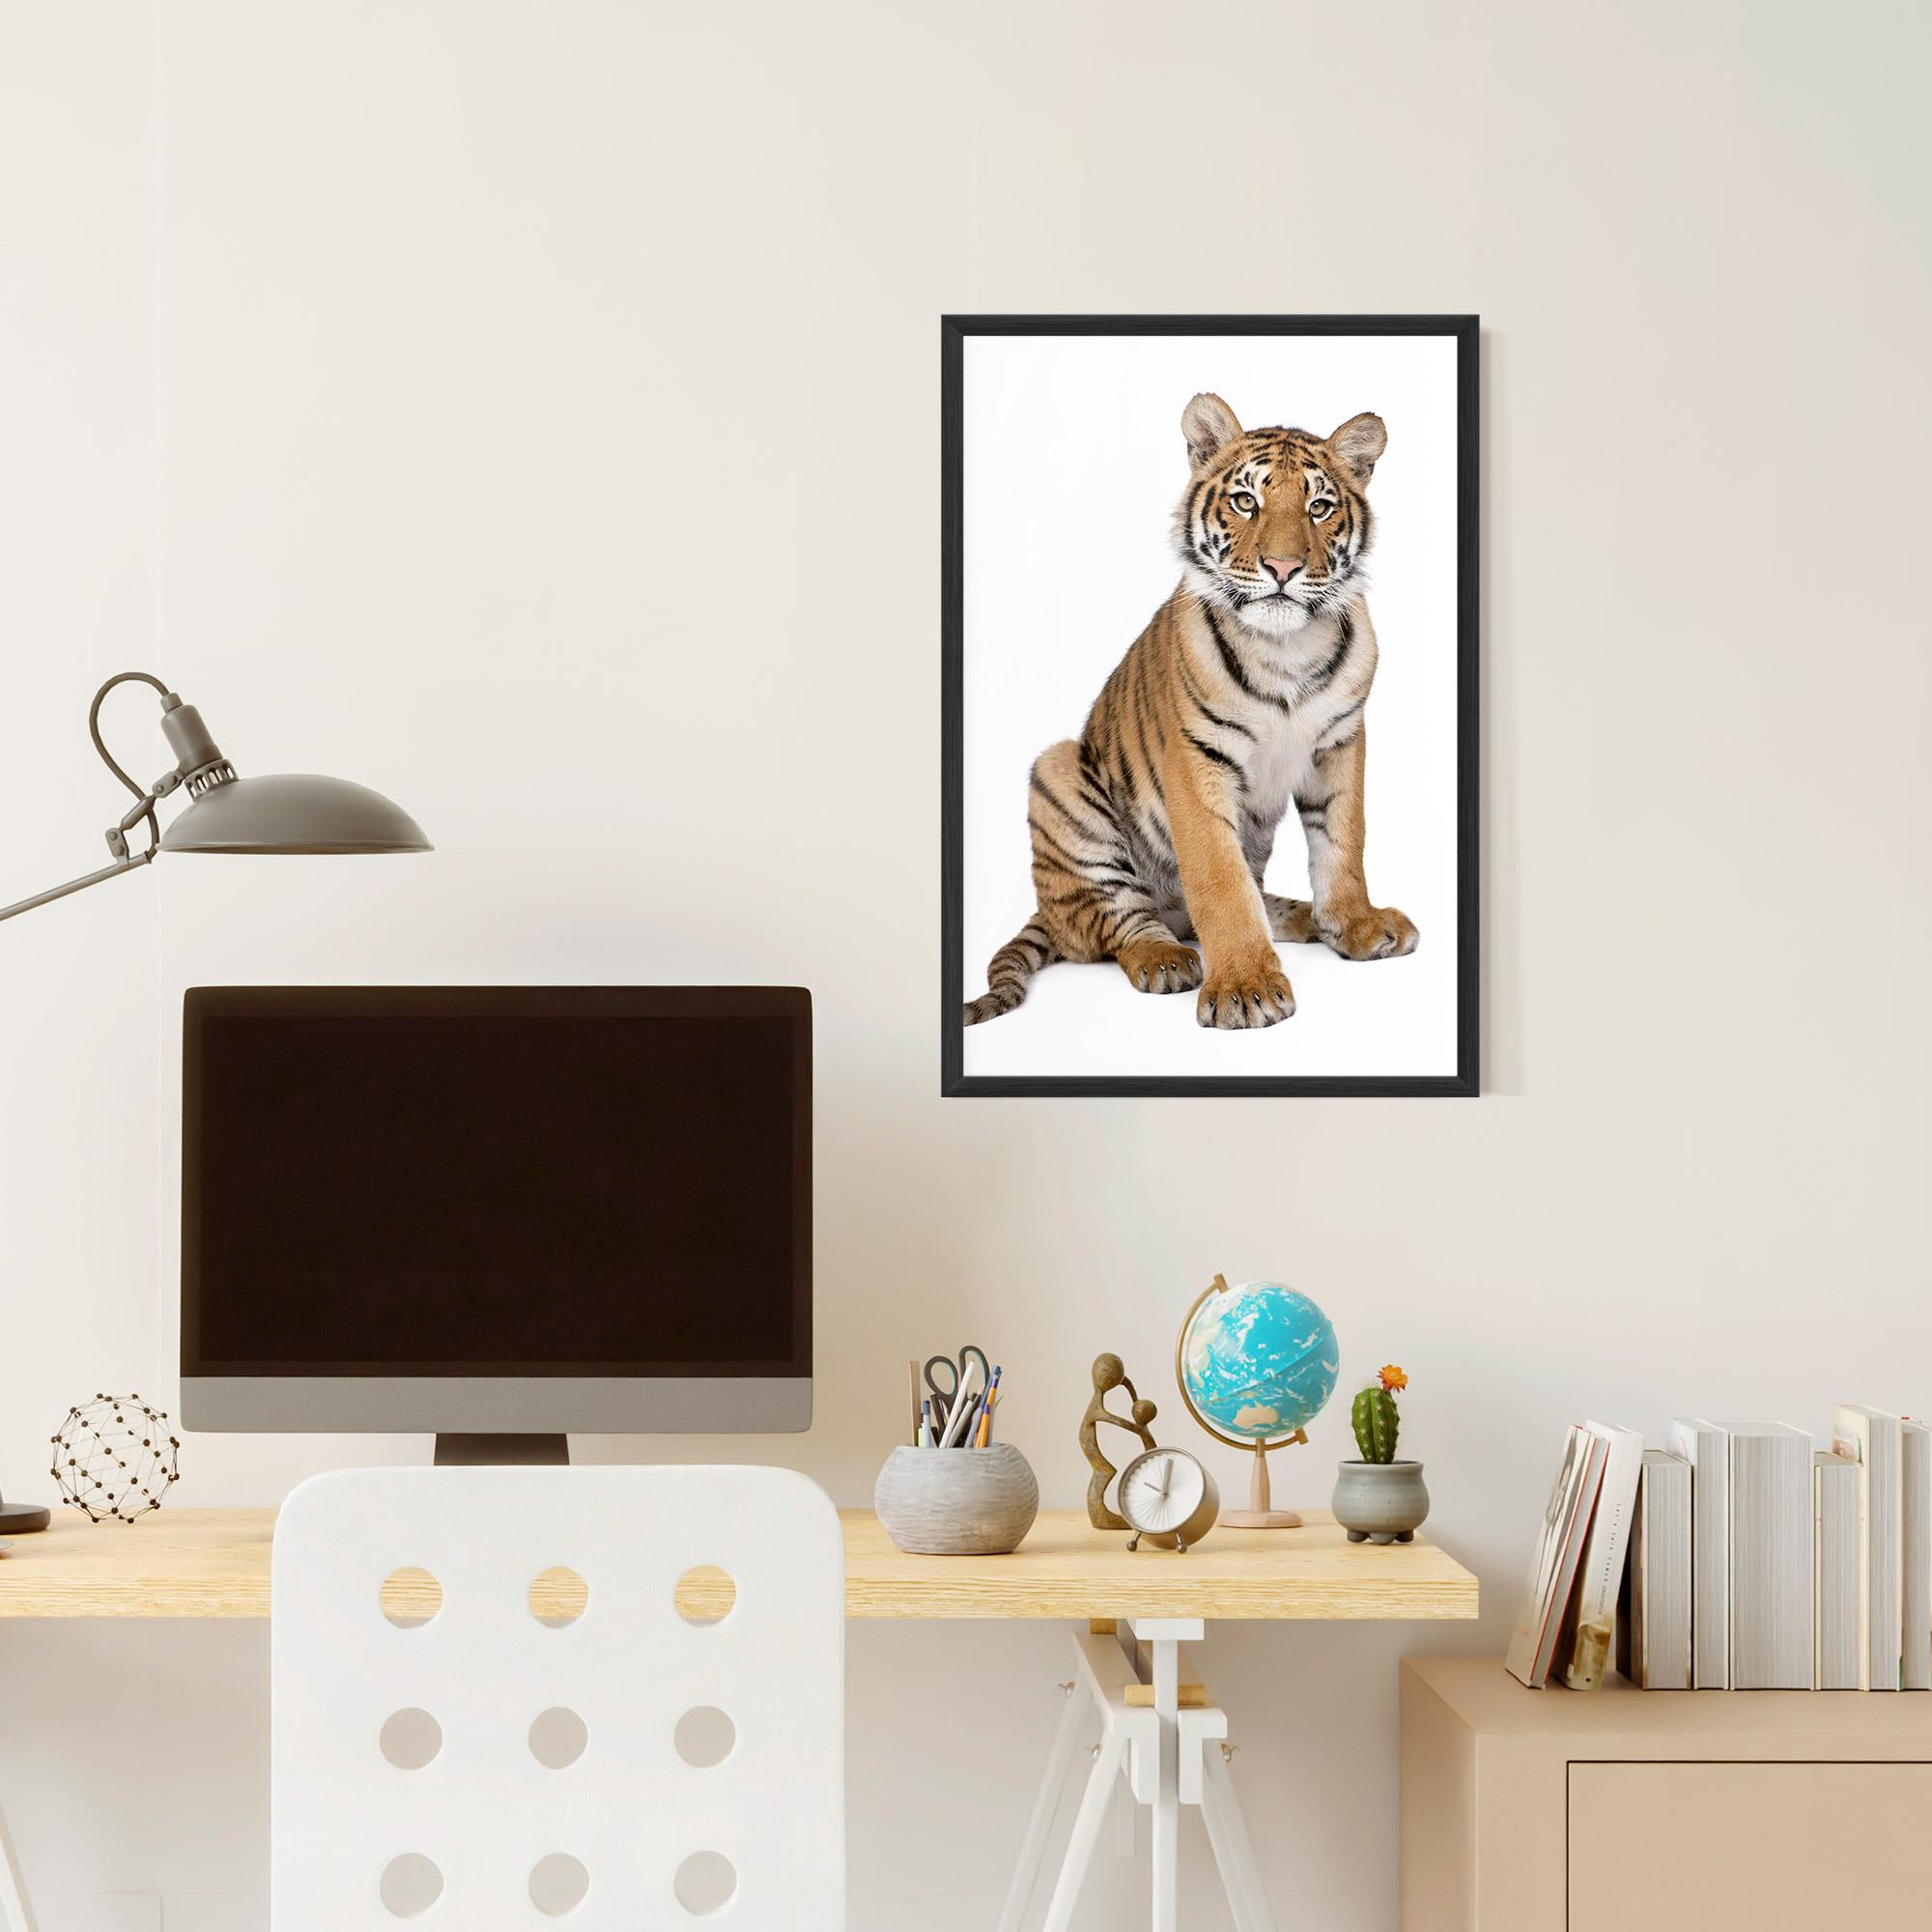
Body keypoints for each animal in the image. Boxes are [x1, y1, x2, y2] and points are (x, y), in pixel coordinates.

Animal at [964, 392, 1417, 1031]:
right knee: (1118, 924)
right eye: (1247, 501)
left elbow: (1342, 843)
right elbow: (1220, 882)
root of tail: (1046, 913)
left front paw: (1356, 925)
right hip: (1058, 774)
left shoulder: (1340, 742)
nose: (1283, 568)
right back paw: (1166, 959)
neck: (1286, 648)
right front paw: (1247, 988)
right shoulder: (1196, 758)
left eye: (1320, 507)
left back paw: (1301, 918)